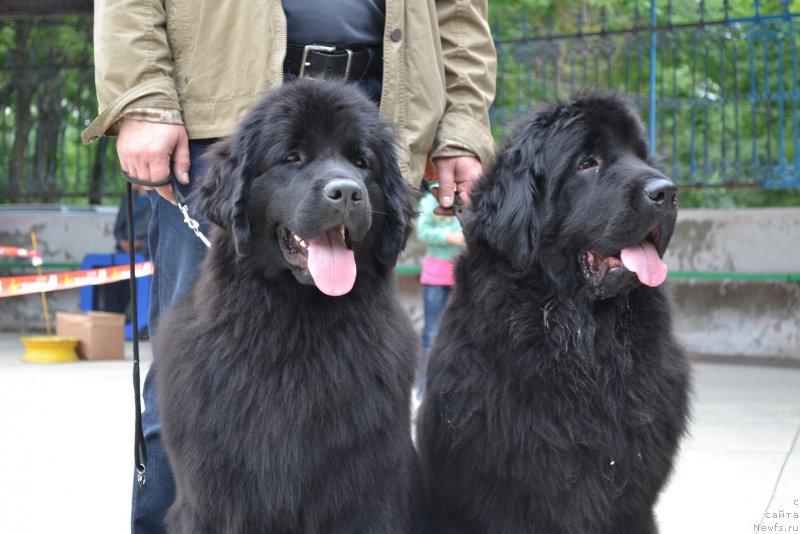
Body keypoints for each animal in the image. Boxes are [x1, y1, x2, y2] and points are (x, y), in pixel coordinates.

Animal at [152, 79, 422, 534]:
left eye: (362, 162)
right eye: (291, 157)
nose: (347, 192)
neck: (294, 330)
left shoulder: (365, 496)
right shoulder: (212, 499)